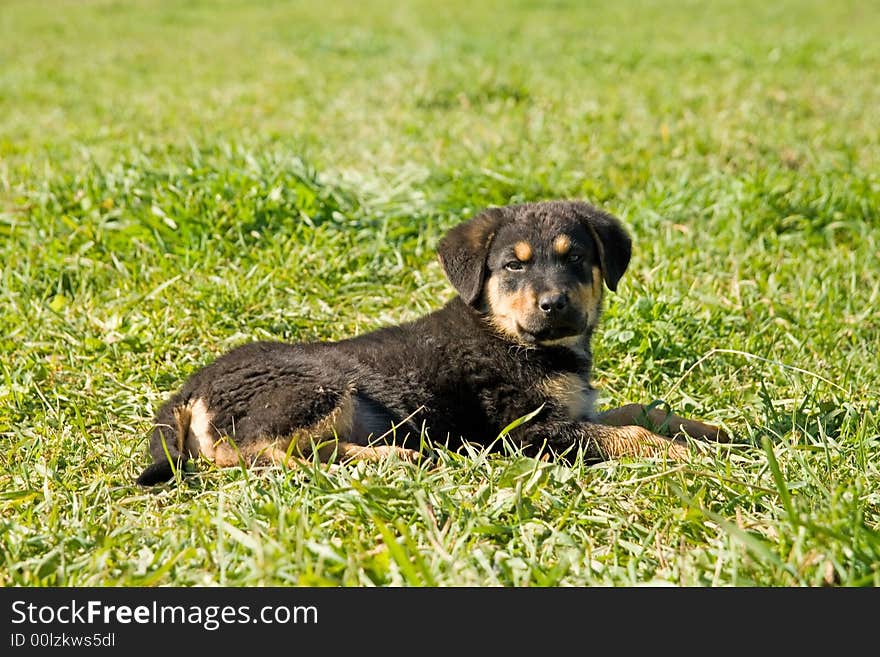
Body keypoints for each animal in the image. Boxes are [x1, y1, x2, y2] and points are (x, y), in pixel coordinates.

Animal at [139, 202, 728, 484]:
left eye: (577, 258)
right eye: (513, 266)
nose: (554, 304)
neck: (506, 334)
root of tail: (191, 388)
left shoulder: (569, 412)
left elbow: (637, 410)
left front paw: (709, 431)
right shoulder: (525, 432)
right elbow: (627, 432)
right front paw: (683, 453)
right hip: (315, 389)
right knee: (256, 455)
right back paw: (387, 460)